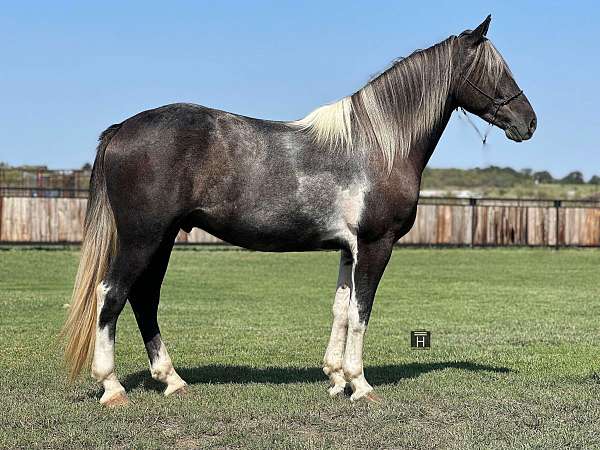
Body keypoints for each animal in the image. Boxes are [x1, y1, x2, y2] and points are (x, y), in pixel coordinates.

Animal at [63, 15, 536, 406]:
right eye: (495, 71)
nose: (529, 122)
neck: (377, 145)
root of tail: (123, 129)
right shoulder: (376, 245)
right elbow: (362, 312)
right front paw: (360, 384)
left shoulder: (348, 249)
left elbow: (341, 310)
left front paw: (336, 379)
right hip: (143, 238)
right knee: (112, 293)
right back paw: (113, 388)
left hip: (162, 239)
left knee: (144, 297)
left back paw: (172, 380)